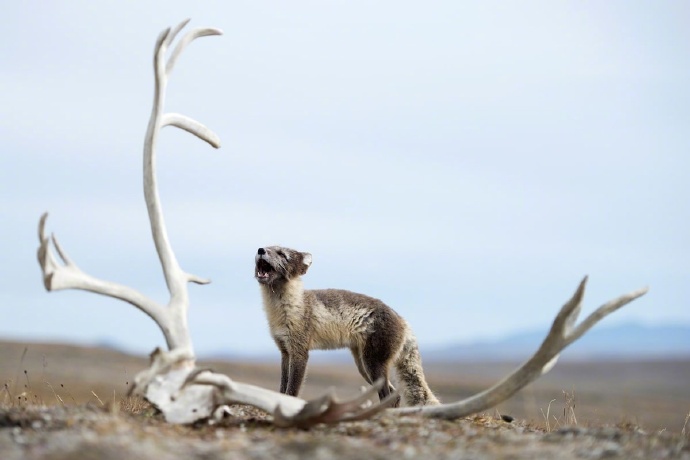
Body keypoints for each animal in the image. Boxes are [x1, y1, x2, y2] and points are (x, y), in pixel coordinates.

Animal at [255, 246, 438, 408]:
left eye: (282, 254)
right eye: (267, 247)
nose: (260, 250)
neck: (286, 309)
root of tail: (403, 320)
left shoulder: (300, 352)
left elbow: (291, 391)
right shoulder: (285, 351)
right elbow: (282, 388)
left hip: (373, 365)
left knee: (388, 395)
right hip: (363, 366)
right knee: (394, 394)